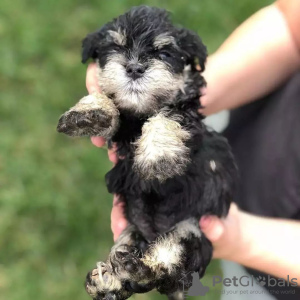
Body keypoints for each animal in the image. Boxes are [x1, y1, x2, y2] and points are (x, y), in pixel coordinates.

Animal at [57, 5, 238, 300]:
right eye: (115, 48)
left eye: (164, 53)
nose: (134, 68)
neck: (140, 112)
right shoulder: (123, 127)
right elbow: (111, 102)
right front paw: (88, 113)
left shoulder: (188, 115)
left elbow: (168, 115)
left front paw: (158, 157)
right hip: (132, 232)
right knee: (130, 259)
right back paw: (108, 279)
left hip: (189, 231)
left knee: (166, 268)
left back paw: (135, 269)